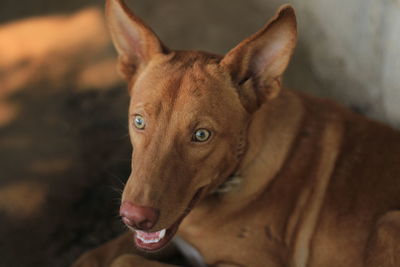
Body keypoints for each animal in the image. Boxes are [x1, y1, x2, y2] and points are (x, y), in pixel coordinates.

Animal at [72, 0, 400, 267]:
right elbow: (92, 255)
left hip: (387, 223)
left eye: (201, 135)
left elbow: (123, 260)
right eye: (139, 122)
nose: (134, 218)